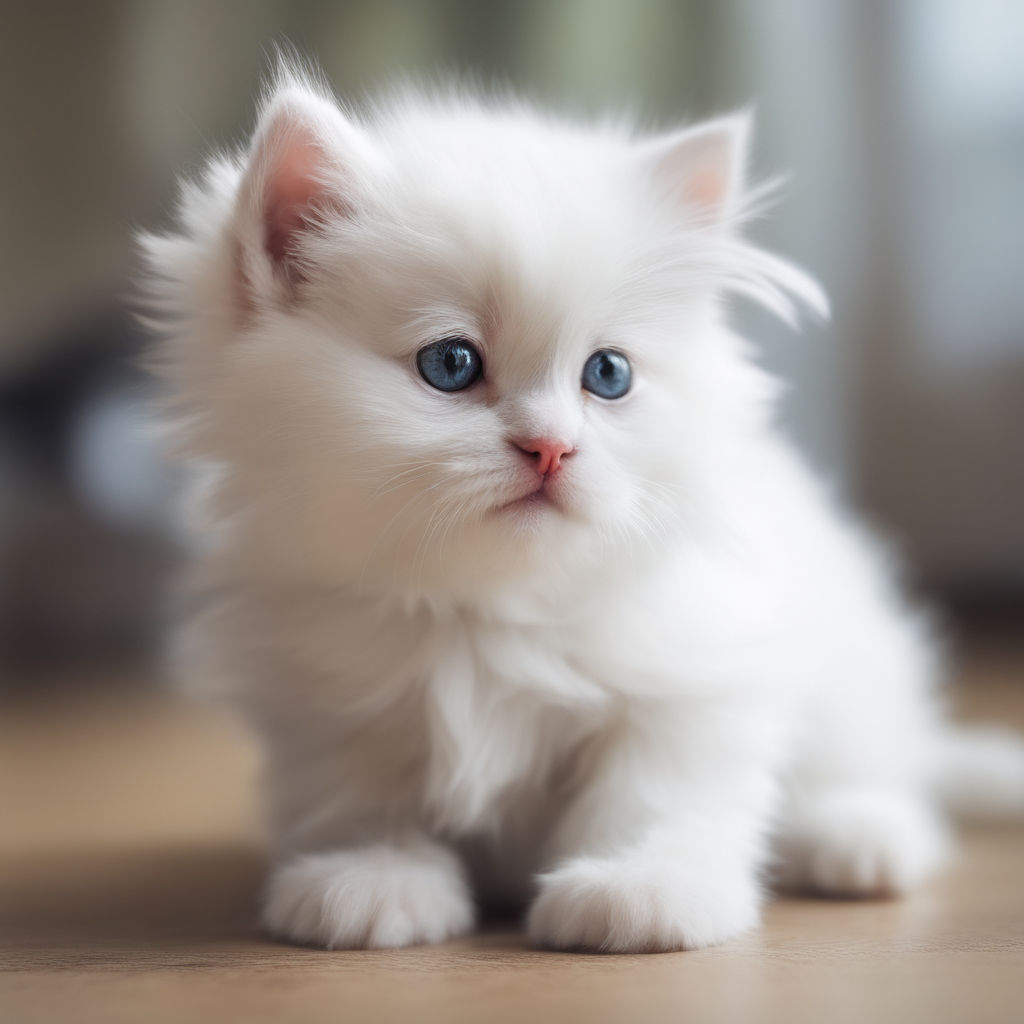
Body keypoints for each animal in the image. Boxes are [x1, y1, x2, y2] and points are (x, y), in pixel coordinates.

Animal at [142, 64, 1024, 950]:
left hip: (857, 678)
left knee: (877, 772)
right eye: (450, 364)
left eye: (608, 375)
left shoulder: (693, 685)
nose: (551, 448)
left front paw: (639, 890)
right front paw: (370, 879)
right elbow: (360, 799)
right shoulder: (331, 707)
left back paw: (857, 837)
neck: (486, 611)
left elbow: (651, 794)